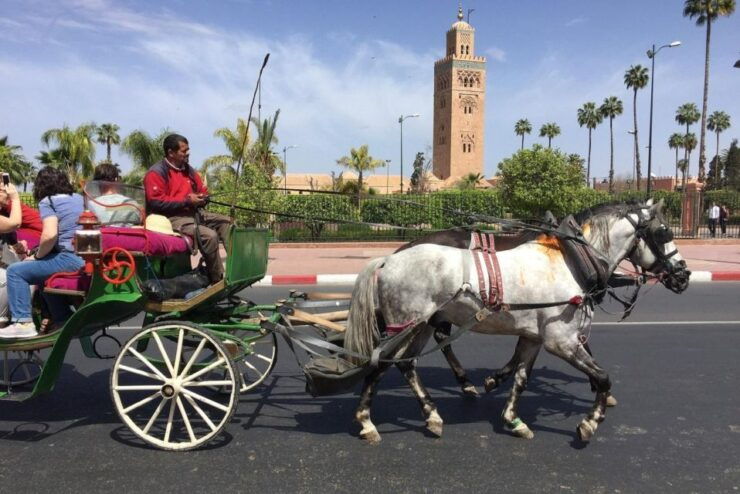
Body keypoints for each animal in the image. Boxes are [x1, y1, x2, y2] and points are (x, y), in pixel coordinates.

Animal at [343, 199, 689, 443]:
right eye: (664, 232)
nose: (683, 275)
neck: (572, 260)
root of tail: (389, 258)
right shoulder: (560, 340)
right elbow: (603, 376)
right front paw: (590, 422)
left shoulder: (534, 337)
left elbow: (521, 377)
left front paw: (512, 417)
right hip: (408, 326)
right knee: (382, 362)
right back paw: (367, 421)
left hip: (421, 326)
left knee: (406, 364)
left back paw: (433, 414)